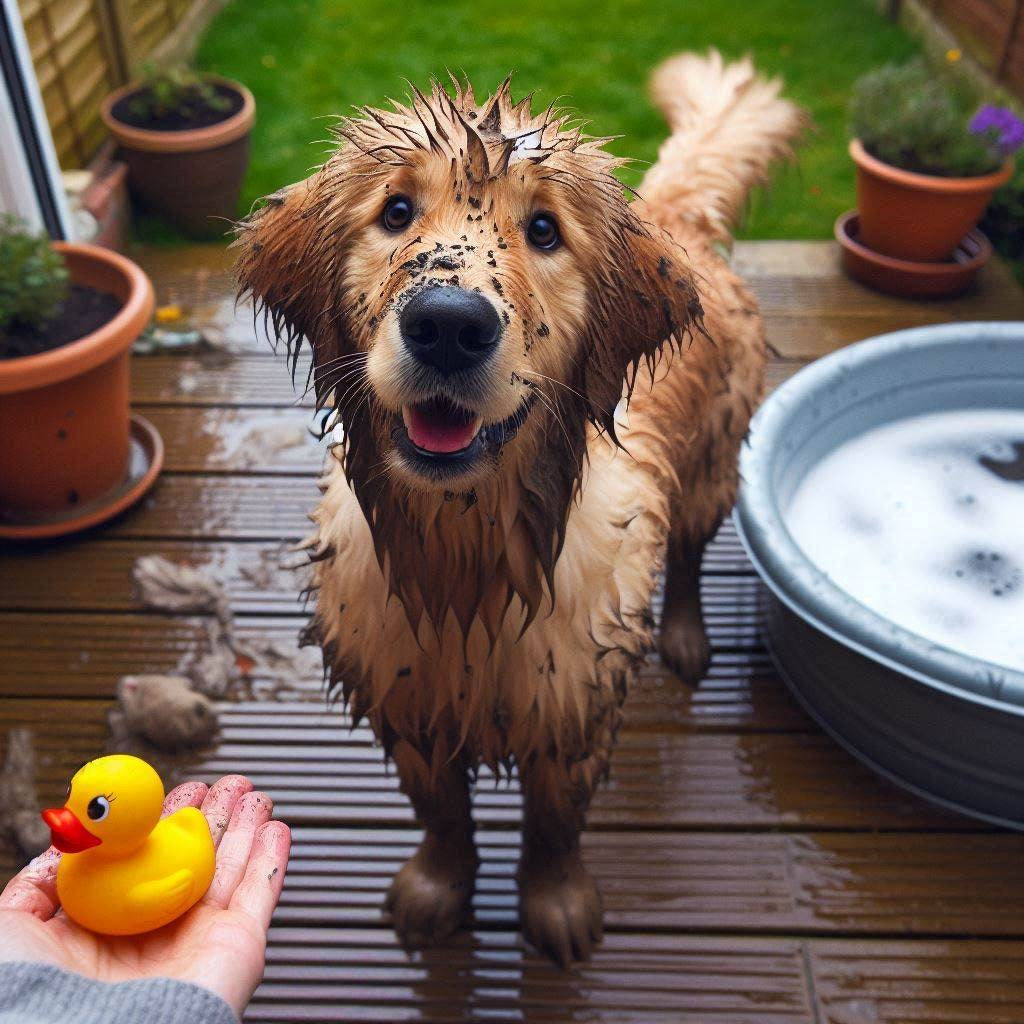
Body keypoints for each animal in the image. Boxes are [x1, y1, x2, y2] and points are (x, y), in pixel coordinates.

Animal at [235, 51, 802, 962]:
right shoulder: (411, 706)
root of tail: (675, 215)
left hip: (714, 459)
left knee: (688, 551)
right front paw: (439, 889)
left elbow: (554, 825)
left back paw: (684, 635)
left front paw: (555, 904)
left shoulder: (574, 709)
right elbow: (443, 818)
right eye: (395, 211)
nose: (446, 325)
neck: (467, 556)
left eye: (544, 231)